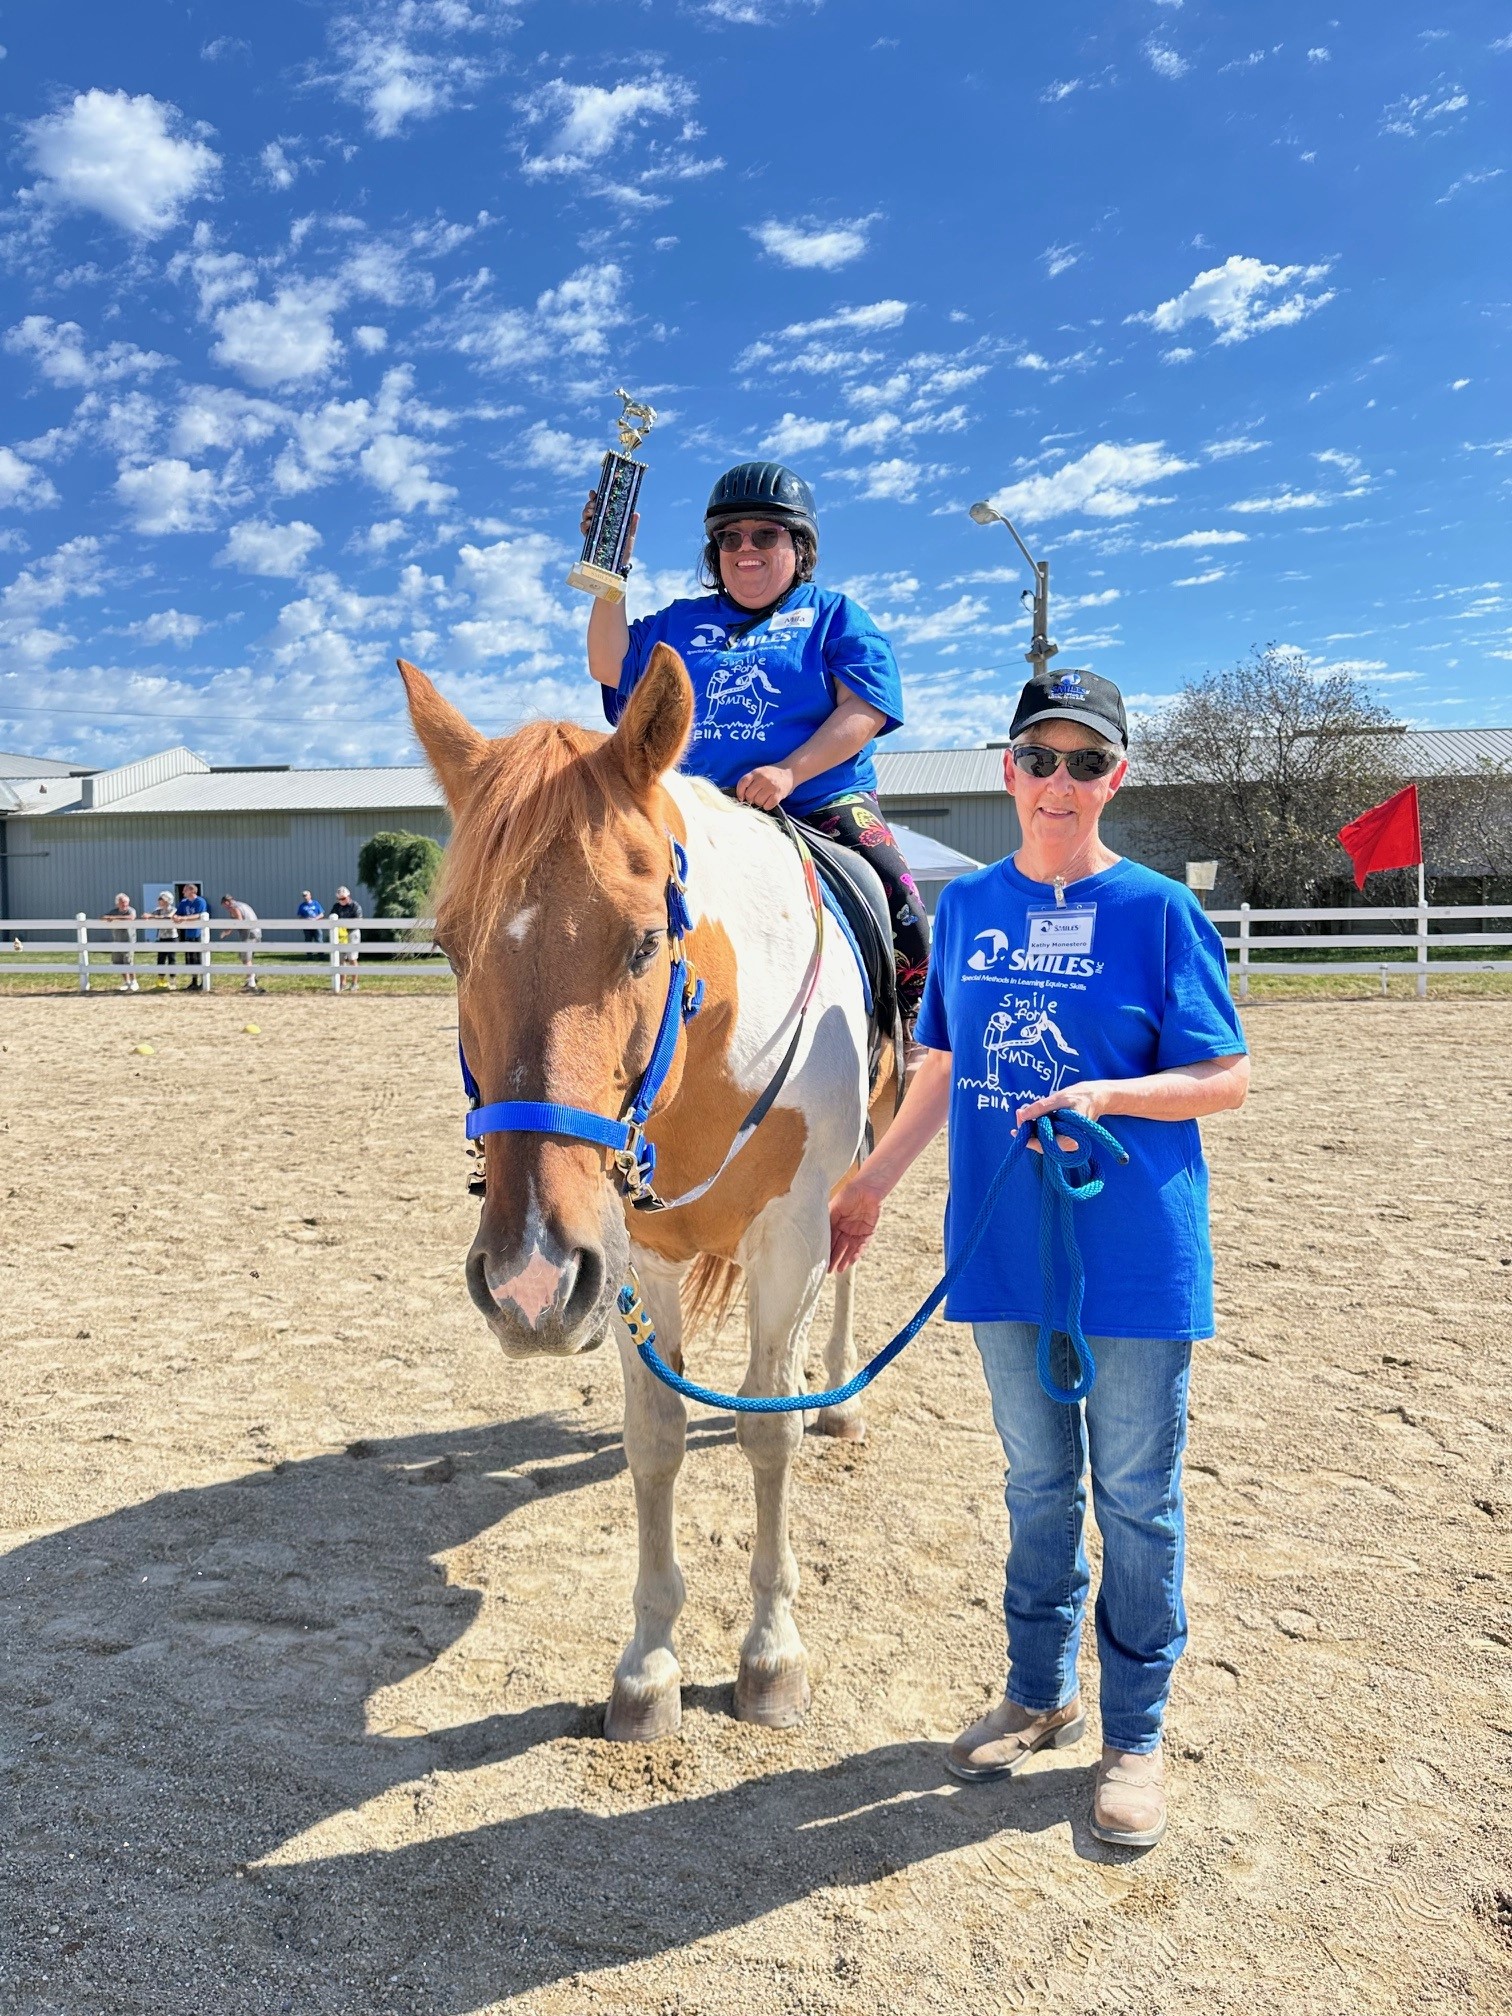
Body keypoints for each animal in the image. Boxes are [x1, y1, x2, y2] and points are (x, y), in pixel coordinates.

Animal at [399, 643, 896, 1740]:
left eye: (640, 943)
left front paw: (770, 1656)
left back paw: (841, 1392)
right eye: (449, 946)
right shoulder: (630, 1258)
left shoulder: (788, 1242)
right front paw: (649, 1667)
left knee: (851, 1268)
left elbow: (768, 1427)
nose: (527, 1281)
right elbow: (656, 1439)